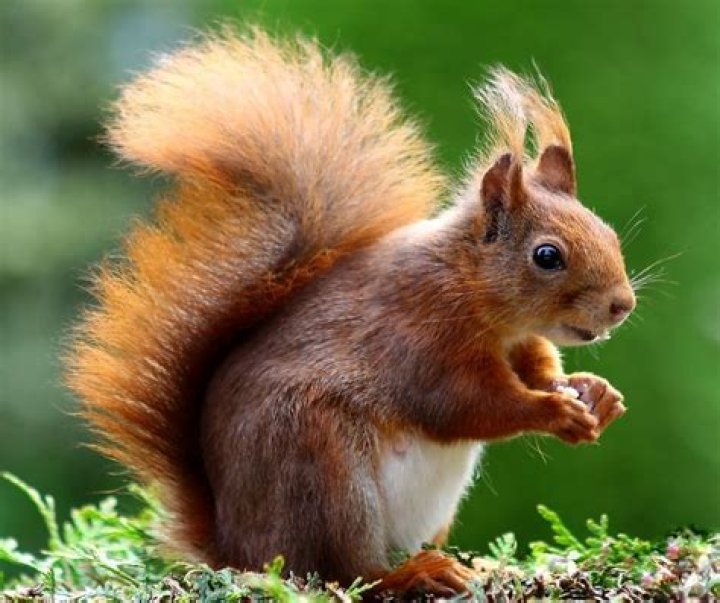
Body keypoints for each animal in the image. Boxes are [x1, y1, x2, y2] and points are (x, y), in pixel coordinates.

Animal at [66, 27, 636, 596]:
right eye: (547, 256)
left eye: (607, 233)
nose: (622, 305)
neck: (474, 291)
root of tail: (237, 548)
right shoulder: (421, 336)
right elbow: (467, 405)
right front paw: (554, 411)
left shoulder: (519, 341)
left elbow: (538, 368)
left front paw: (594, 393)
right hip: (325, 471)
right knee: (345, 571)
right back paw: (414, 573)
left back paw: (474, 567)